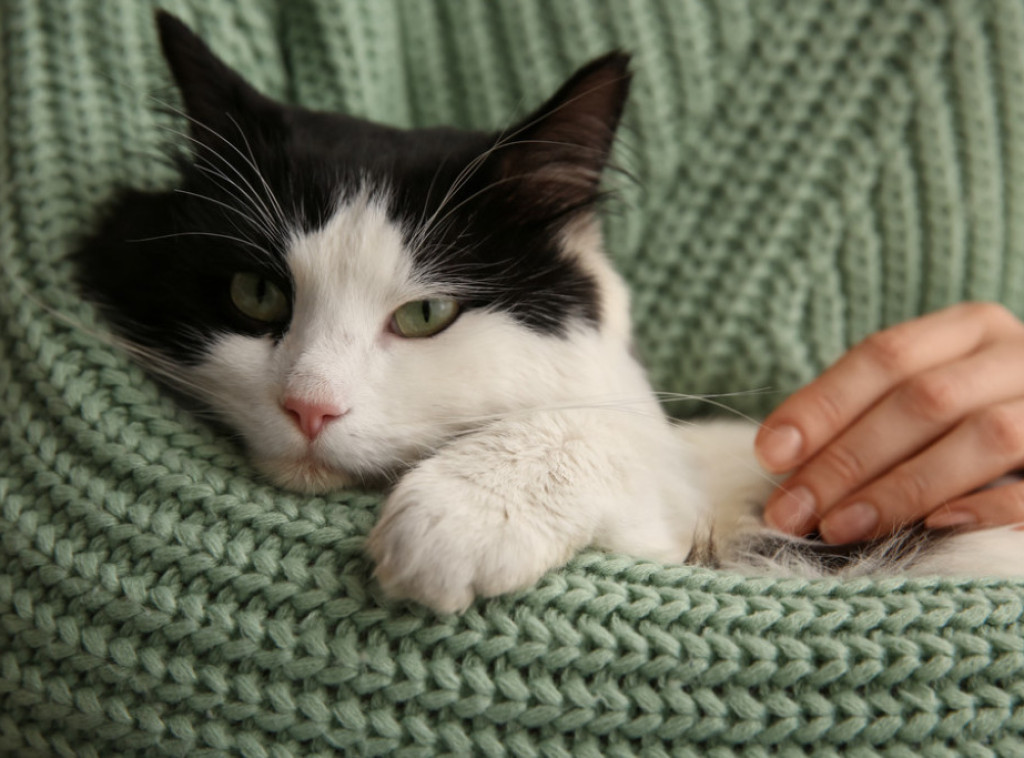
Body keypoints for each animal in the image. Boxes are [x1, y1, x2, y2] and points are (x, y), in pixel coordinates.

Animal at [75, 13, 1024, 614]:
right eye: (257, 295)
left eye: (426, 315)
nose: (309, 407)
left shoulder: (681, 510)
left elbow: (595, 431)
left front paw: (460, 516)